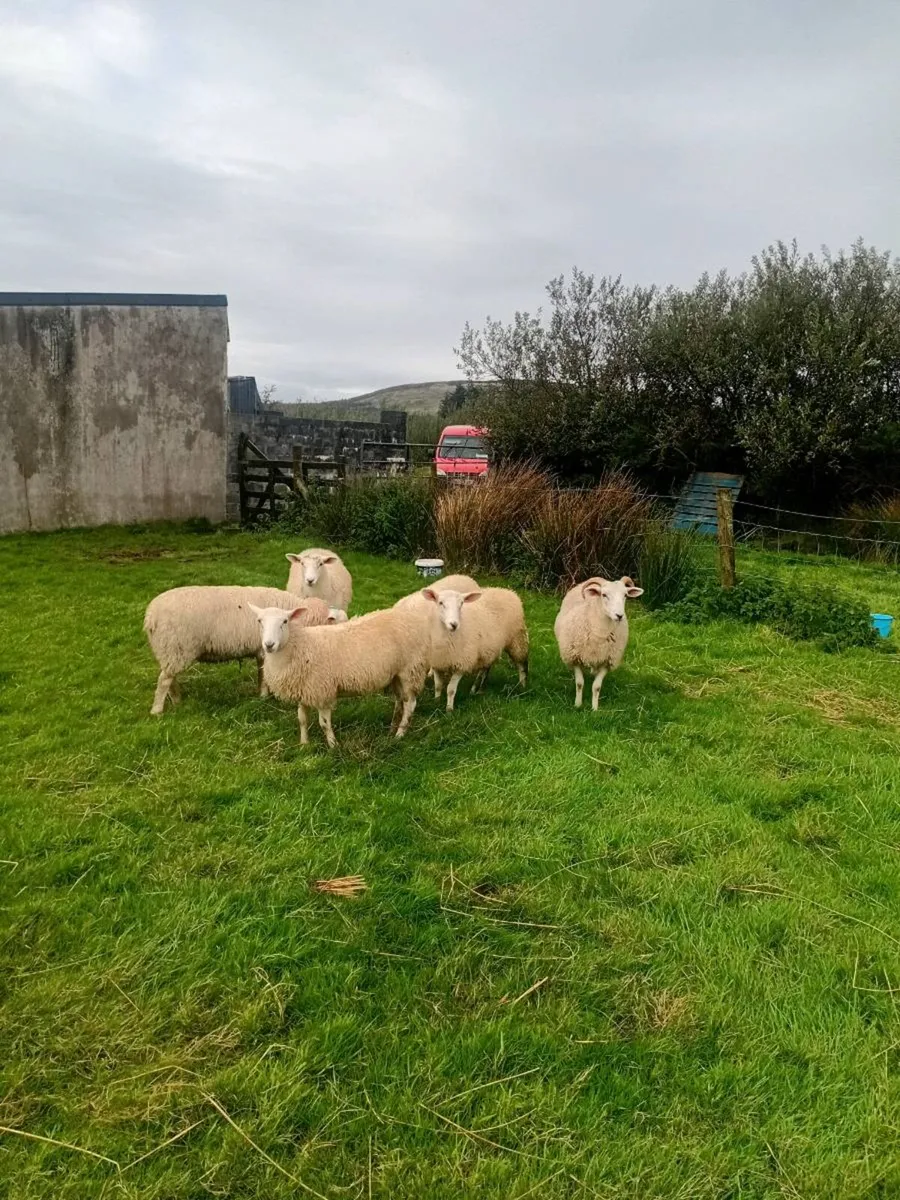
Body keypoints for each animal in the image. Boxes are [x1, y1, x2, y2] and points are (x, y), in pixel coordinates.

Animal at [143, 586, 333, 715]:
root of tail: (151, 616)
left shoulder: (261, 649)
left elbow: (261, 673)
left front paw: (261, 695)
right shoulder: (264, 648)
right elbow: (264, 675)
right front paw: (264, 696)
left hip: (170, 650)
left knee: (169, 677)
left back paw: (177, 701)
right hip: (176, 646)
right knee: (164, 681)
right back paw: (157, 710)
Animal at [247, 601, 431, 748]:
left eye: (285, 621)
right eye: (259, 621)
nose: (269, 644)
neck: (300, 646)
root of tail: (408, 618)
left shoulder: (322, 691)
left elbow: (324, 723)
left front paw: (333, 746)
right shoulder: (304, 690)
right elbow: (302, 719)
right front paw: (304, 744)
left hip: (410, 670)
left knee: (410, 704)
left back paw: (400, 734)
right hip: (396, 675)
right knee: (399, 701)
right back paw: (392, 728)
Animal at [395, 583, 529, 711]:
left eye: (461, 603)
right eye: (440, 602)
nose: (454, 624)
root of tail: (506, 591)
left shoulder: (461, 664)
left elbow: (450, 689)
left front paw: (449, 709)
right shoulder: (438, 662)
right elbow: (438, 686)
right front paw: (436, 701)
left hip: (517, 638)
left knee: (522, 664)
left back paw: (522, 686)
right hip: (489, 648)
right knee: (486, 668)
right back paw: (477, 689)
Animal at [553, 576, 644, 710]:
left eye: (625, 595)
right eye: (604, 595)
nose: (619, 615)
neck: (600, 635)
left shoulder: (608, 661)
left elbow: (596, 687)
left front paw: (595, 708)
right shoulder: (574, 658)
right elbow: (579, 683)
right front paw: (578, 704)